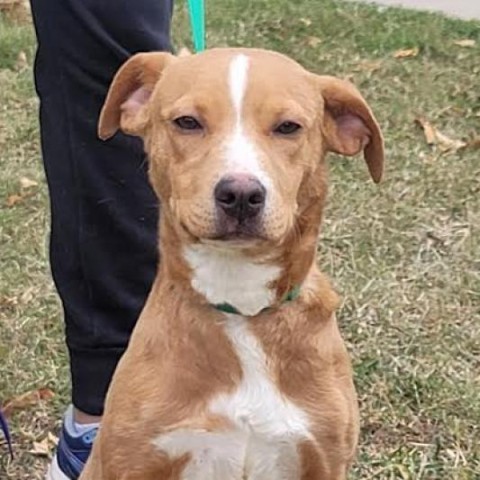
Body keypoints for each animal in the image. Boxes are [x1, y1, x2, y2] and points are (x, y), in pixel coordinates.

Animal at [79, 46, 386, 480]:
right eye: (187, 122)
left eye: (288, 127)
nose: (241, 194)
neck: (241, 305)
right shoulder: (137, 462)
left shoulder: (324, 460)